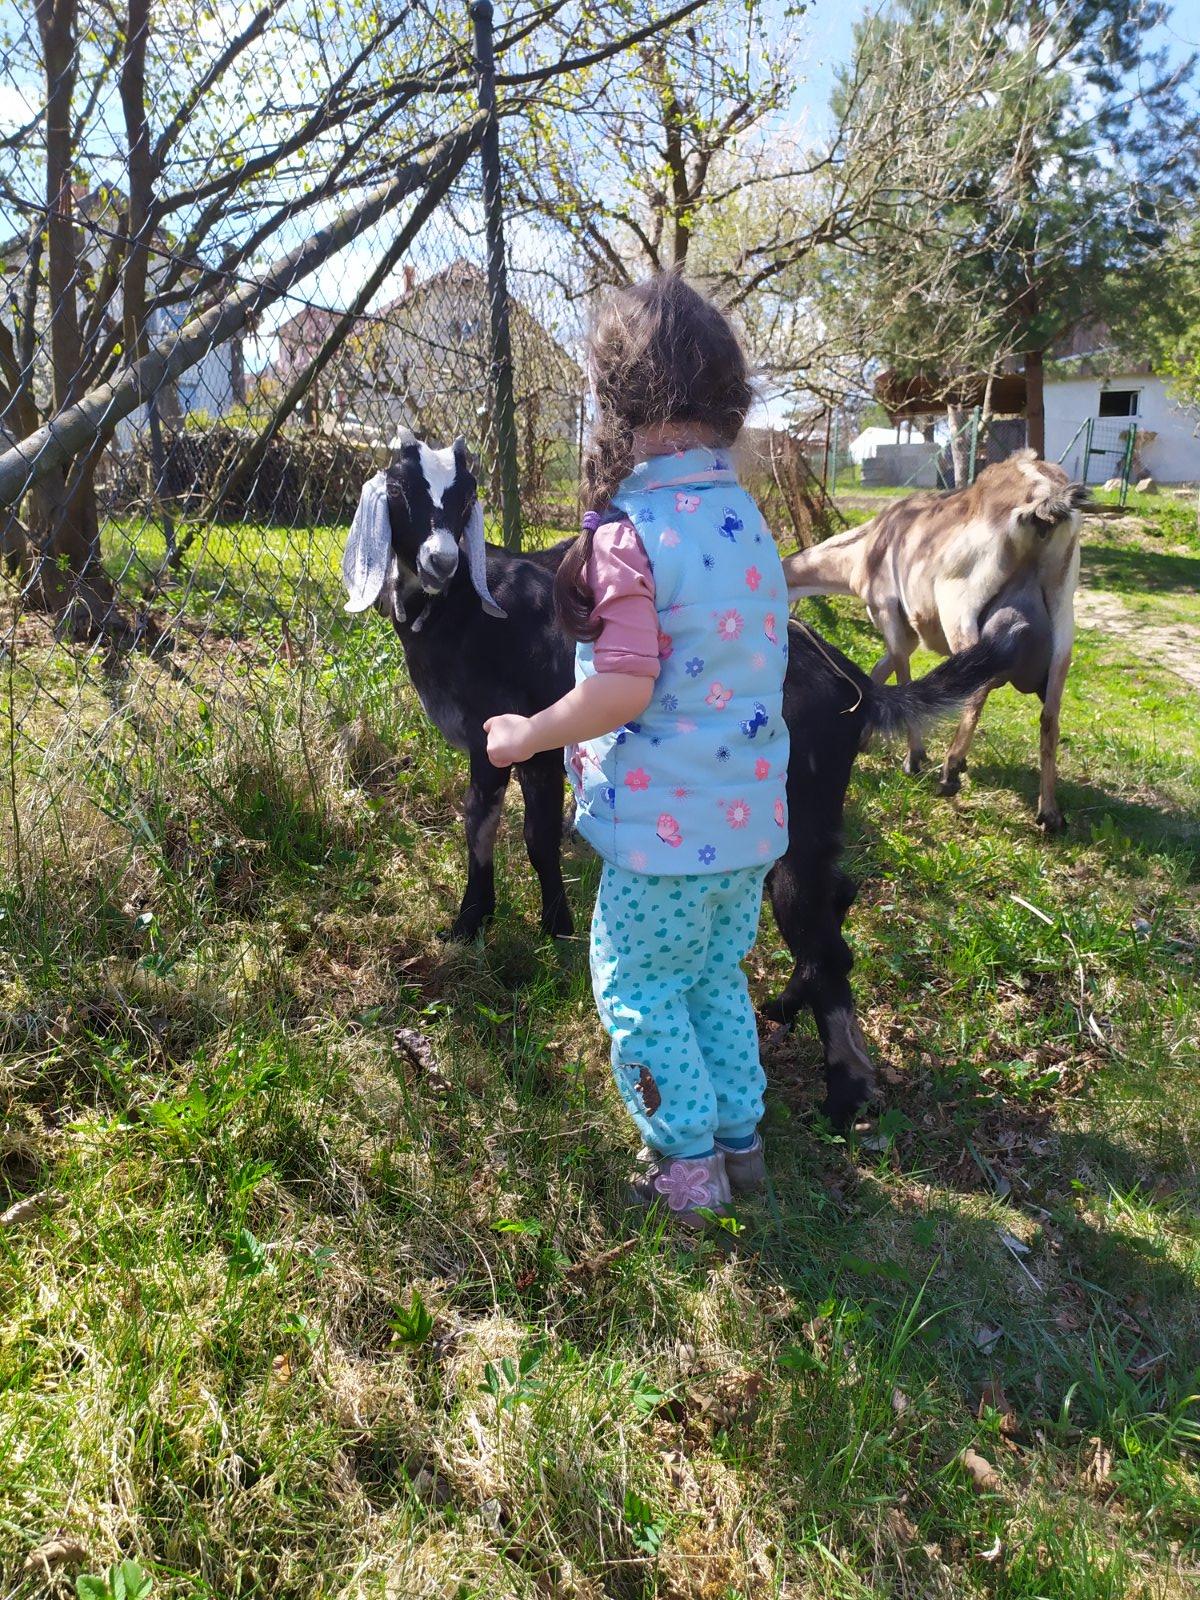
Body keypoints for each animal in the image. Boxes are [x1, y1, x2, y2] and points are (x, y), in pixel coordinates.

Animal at [343, 434, 1023, 1125]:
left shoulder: (499, 740)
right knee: (836, 900)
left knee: (824, 938)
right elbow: (536, 839)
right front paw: (553, 928)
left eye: (465, 496)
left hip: (794, 809)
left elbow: (483, 829)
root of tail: (851, 684)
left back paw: (845, 1094)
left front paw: (470, 925)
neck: (466, 610)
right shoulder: (541, 750)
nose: (442, 558)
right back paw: (786, 1009)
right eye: (400, 489)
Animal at [782, 450, 1088, 830]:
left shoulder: (889, 611)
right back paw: (1050, 812)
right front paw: (866, 733)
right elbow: (879, 672)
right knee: (1050, 716)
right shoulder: (909, 633)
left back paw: (951, 770)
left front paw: (914, 758)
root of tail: (1042, 499)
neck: (865, 550)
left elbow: (901, 674)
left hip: (959, 606)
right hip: (1063, 620)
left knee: (978, 688)